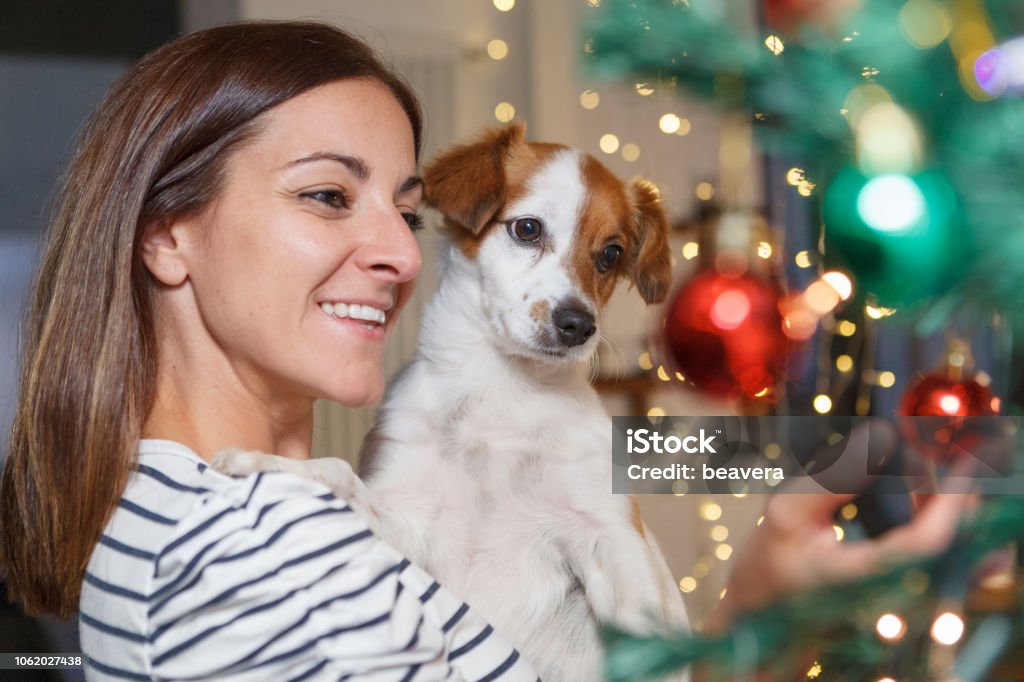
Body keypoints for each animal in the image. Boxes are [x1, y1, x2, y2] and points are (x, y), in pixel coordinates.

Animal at [220, 123, 692, 679]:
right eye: (527, 229)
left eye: (611, 255)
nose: (578, 326)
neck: (501, 391)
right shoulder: (411, 526)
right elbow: (338, 473)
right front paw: (264, 462)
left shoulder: (613, 537)